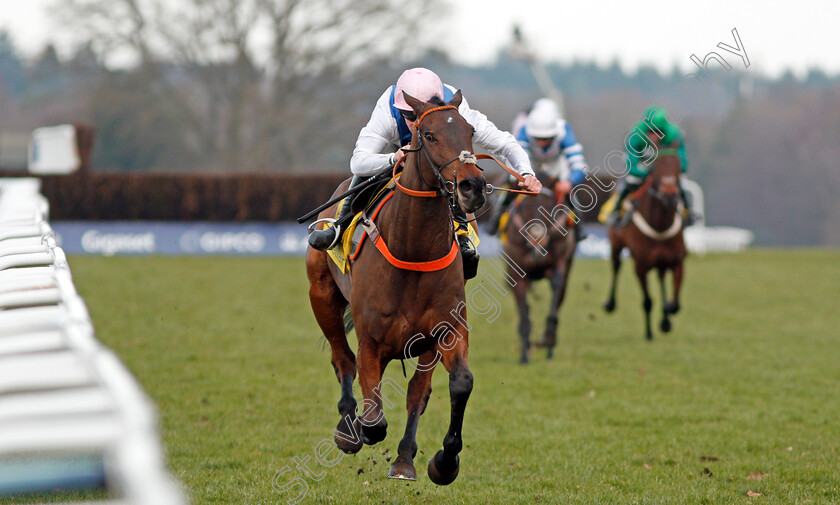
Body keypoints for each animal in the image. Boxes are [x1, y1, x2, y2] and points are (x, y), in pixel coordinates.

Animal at [304, 90, 486, 484]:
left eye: (471, 131)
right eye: (429, 135)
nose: (473, 186)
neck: (413, 250)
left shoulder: (445, 331)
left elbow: (452, 384)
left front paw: (439, 461)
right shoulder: (372, 342)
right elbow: (373, 419)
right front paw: (357, 429)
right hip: (321, 295)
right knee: (342, 358)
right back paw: (347, 429)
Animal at [498, 174, 576, 362]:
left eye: (549, 208)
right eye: (525, 208)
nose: (537, 239)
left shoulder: (559, 264)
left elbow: (556, 287)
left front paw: (548, 338)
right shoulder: (516, 273)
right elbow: (524, 314)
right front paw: (524, 356)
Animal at [604, 137, 688, 338]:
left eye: (677, 165)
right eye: (656, 166)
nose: (669, 195)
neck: (660, 225)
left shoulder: (677, 261)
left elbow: (675, 303)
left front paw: (666, 319)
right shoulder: (640, 266)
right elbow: (648, 300)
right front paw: (649, 333)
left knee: (661, 277)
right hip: (616, 244)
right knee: (616, 266)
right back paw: (610, 303)